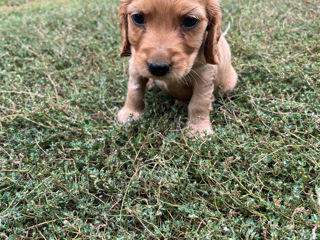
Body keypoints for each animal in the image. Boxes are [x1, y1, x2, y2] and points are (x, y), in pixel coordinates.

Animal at [117, 0, 238, 136]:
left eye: (190, 21)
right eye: (137, 17)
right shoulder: (135, 64)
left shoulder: (204, 75)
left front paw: (198, 130)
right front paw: (129, 114)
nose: (158, 68)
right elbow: (134, 90)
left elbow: (199, 102)